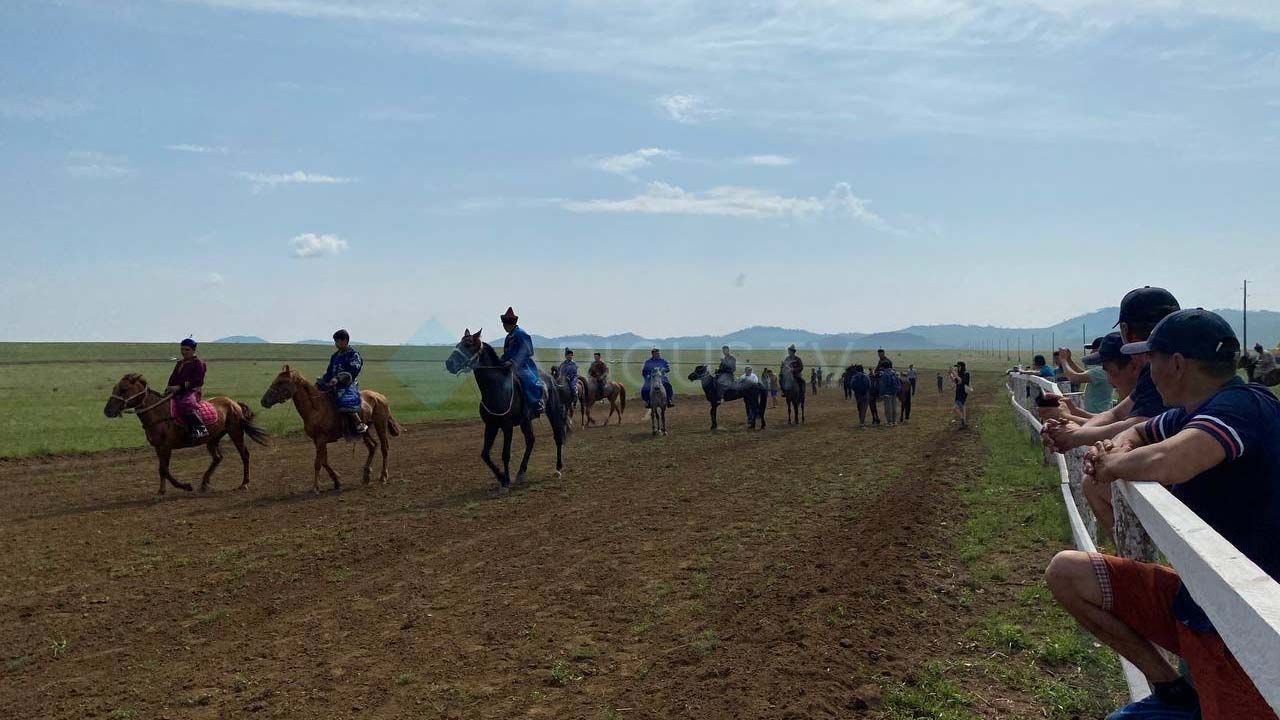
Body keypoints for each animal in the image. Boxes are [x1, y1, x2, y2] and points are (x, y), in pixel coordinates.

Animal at [103, 368, 270, 491]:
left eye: (123, 389)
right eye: (115, 388)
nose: (107, 411)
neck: (158, 413)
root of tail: (233, 403)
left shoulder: (166, 447)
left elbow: (164, 469)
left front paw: (184, 486)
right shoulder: (158, 447)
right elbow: (161, 469)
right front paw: (161, 490)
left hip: (236, 432)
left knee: (244, 455)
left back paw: (244, 483)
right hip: (212, 438)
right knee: (217, 458)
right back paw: (204, 483)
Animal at [258, 366, 399, 489]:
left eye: (281, 382)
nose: (264, 401)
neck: (315, 408)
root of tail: (380, 396)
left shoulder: (321, 439)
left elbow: (317, 462)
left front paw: (316, 487)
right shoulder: (318, 440)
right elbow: (324, 461)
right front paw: (337, 481)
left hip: (380, 425)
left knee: (384, 448)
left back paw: (383, 476)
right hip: (364, 431)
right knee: (373, 446)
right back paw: (366, 476)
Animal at [450, 327, 570, 489]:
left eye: (468, 345)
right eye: (459, 343)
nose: (449, 363)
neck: (497, 388)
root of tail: (550, 378)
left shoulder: (507, 426)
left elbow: (505, 454)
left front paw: (506, 480)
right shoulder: (491, 425)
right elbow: (485, 454)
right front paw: (501, 477)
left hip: (553, 412)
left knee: (557, 436)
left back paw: (558, 469)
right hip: (526, 421)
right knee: (531, 440)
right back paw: (521, 472)